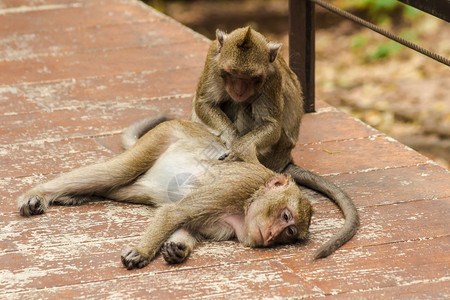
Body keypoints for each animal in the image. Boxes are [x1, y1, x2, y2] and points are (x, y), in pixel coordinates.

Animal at [17, 119, 312, 270]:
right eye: (286, 216)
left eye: (289, 233)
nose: (273, 234)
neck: (248, 203)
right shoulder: (235, 187)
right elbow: (176, 212)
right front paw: (143, 251)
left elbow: (187, 224)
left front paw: (178, 249)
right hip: (162, 135)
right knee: (117, 171)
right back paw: (40, 193)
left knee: (121, 187)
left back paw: (77, 195)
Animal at [121, 27, 360, 258]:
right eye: (229, 74)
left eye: (253, 78)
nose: (238, 89)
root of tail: (285, 160)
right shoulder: (213, 59)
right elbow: (204, 103)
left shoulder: (271, 77)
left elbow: (271, 124)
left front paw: (238, 148)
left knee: (246, 107)